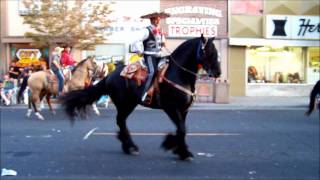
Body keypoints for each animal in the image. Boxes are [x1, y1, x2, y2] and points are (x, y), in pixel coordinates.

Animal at [62, 35, 222, 160]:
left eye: (216, 52)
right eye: (207, 51)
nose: (218, 73)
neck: (178, 74)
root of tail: (110, 75)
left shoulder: (183, 110)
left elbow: (181, 129)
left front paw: (179, 149)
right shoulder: (171, 108)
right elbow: (182, 129)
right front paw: (179, 150)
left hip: (130, 104)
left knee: (121, 122)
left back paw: (127, 146)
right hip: (125, 104)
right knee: (120, 121)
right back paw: (131, 147)